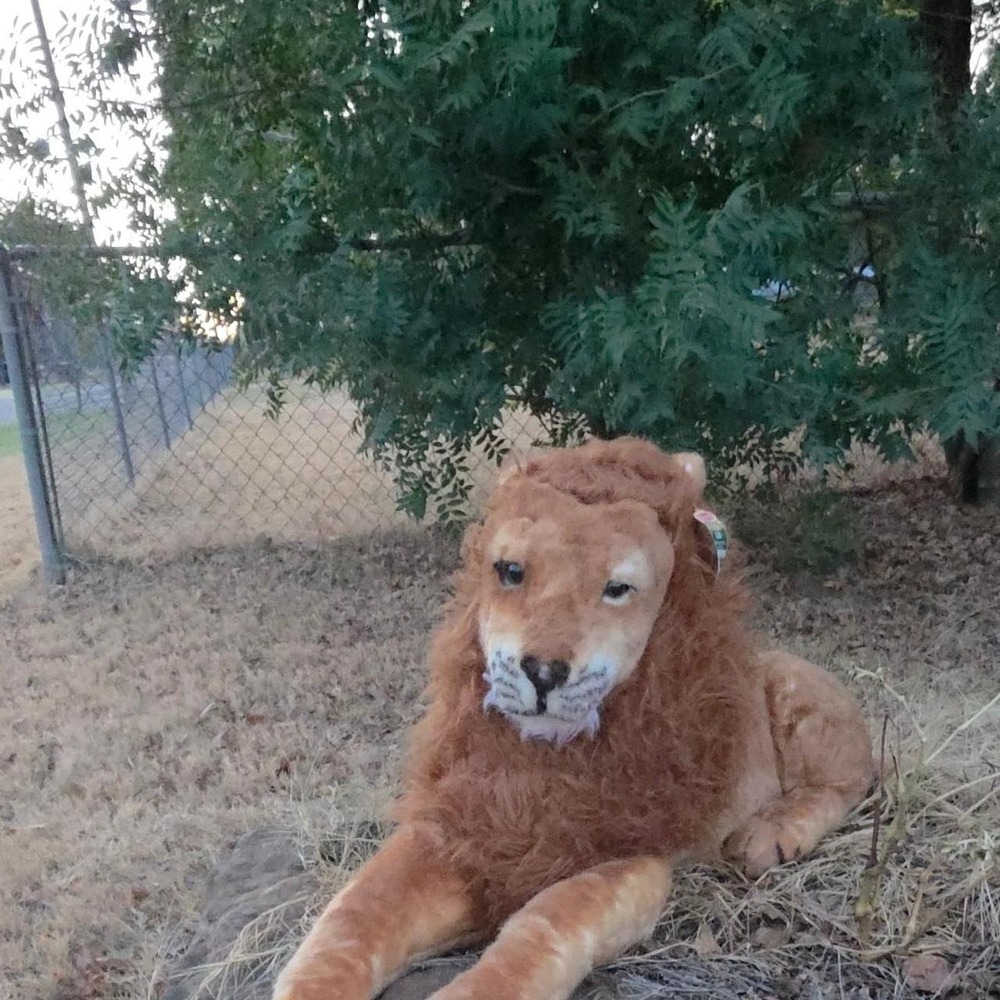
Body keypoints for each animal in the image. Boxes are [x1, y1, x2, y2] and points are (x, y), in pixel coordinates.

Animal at [274, 437, 874, 1000]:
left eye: (617, 589)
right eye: (511, 571)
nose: (543, 672)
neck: (542, 758)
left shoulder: (631, 859)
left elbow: (547, 924)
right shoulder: (459, 827)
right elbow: (356, 914)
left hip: (794, 687)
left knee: (847, 782)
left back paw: (769, 835)